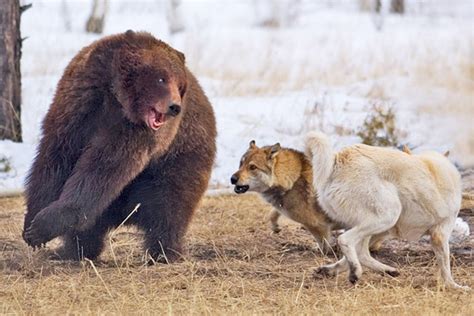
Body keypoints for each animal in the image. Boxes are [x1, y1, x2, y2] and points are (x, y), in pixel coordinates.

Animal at [21, 30, 215, 262]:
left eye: (180, 85)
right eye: (162, 78)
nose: (174, 107)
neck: (116, 96)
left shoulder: (134, 133)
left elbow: (102, 169)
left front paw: (43, 225)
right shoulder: (77, 105)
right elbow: (55, 158)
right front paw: (31, 224)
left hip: (180, 157)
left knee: (170, 206)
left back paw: (163, 252)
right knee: (93, 225)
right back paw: (72, 250)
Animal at [306, 132, 468, 290]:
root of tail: (338, 159)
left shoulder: (381, 233)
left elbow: (346, 259)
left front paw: (328, 270)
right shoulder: (440, 234)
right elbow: (446, 267)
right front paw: (455, 286)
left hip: (375, 223)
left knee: (361, 252)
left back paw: (386, 270)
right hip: (388, 215)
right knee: (345, 240)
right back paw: (356, 272)